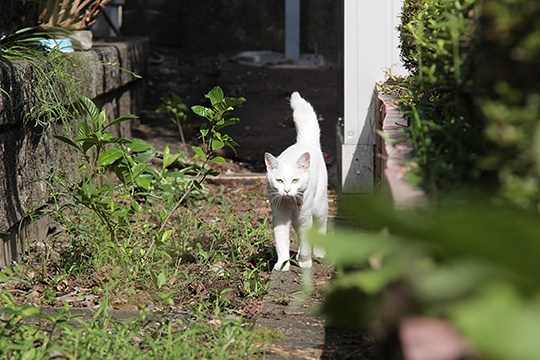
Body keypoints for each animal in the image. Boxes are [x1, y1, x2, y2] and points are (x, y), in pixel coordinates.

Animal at [264, 91, 326, 272]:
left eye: (295, 180)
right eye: (279, 180)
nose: (286, 190)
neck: (290, 202)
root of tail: (305, 142)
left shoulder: (305, 217)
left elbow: (306, 241)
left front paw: (305, 262)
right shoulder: (280, 217)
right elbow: (281, 242)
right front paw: (283, 264)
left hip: (318, 206)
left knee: (322, 226)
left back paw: (319, 252)